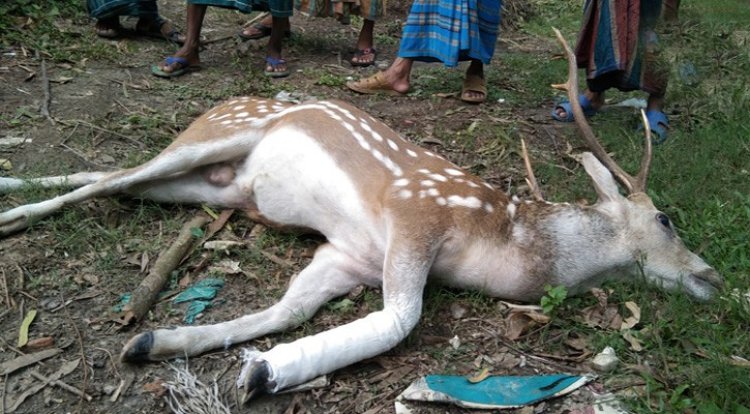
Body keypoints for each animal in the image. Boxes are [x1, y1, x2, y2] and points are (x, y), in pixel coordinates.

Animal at [0, 30, 720, 402]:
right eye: (666, 220)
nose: (712, 277)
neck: (498, 241)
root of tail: (218, 107)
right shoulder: (414, 215)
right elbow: (399, 322)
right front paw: (262, 373)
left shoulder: (347, 255)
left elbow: (286, 309)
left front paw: (160, 344)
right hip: (215, 138)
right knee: (111, 177)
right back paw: (17, 210)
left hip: (216, 188)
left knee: (112, 180)